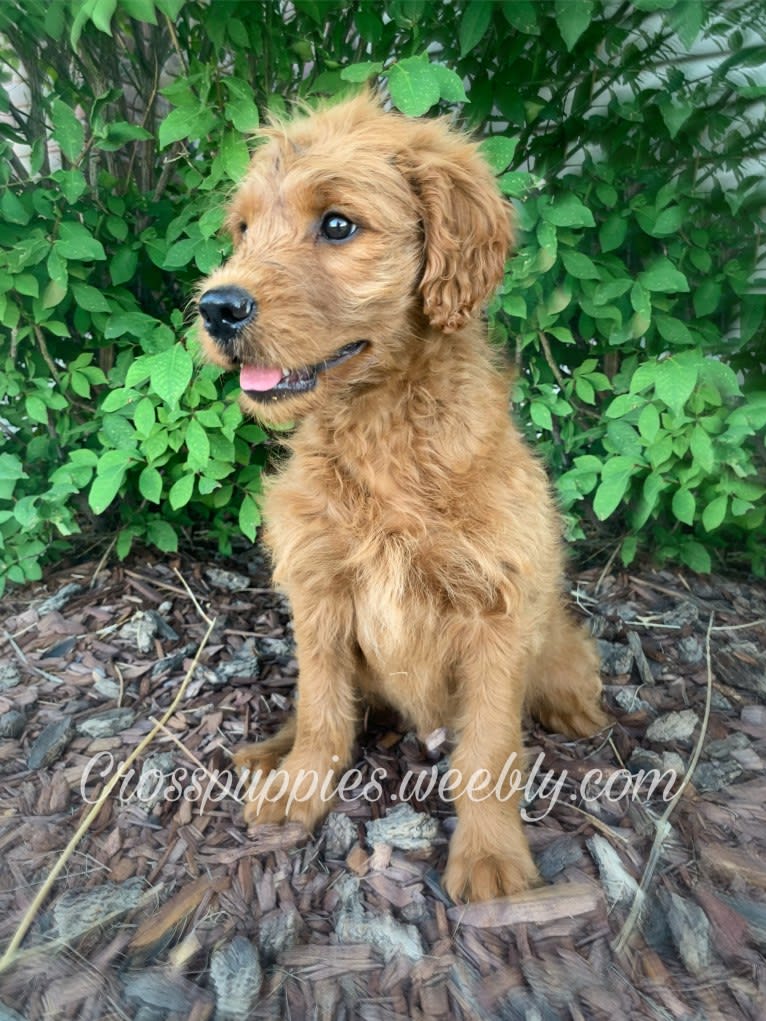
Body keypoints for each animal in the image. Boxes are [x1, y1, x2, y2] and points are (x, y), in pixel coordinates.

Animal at [199, 93, 612, 902]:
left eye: (337, 225)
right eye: (243, 229)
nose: (215, 307)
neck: (379, 429)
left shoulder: (497, 610)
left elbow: (489, 747)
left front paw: (490, 858)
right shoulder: (319, 592)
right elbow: (322, 708)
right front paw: (300, 786)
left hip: (549, 637)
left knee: (568, 665)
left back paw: (579, 709)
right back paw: (268, 753)